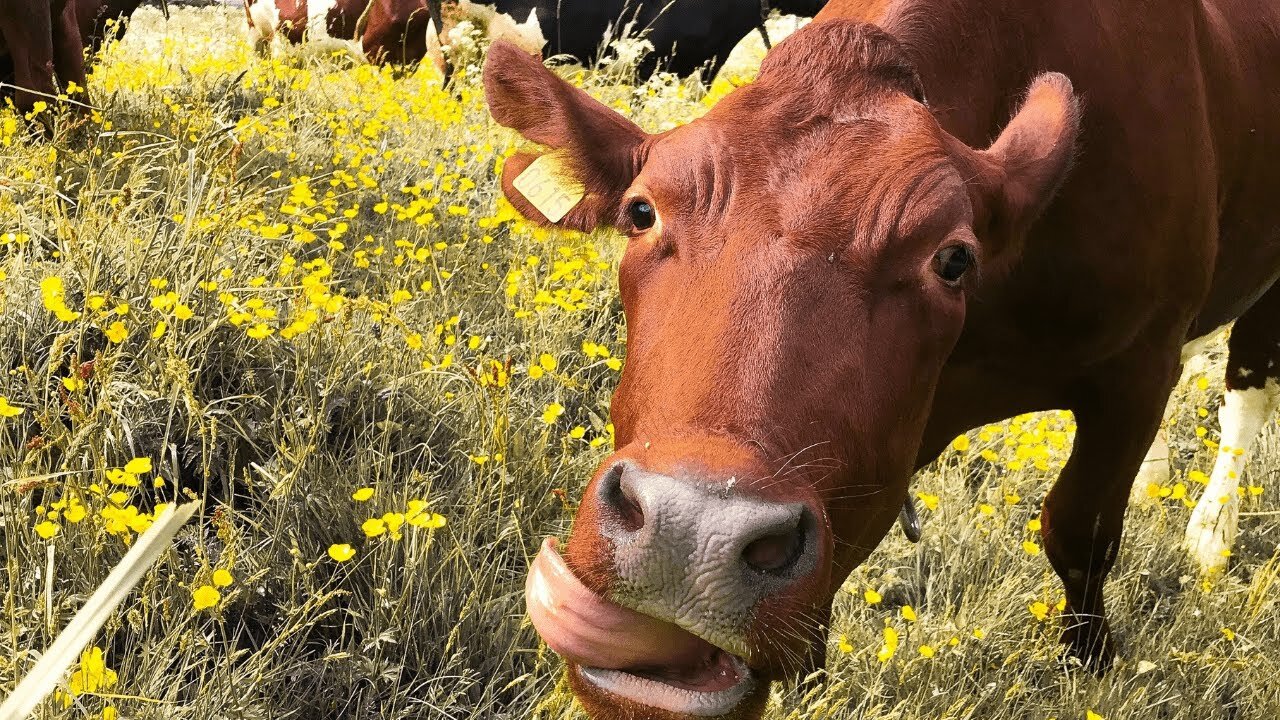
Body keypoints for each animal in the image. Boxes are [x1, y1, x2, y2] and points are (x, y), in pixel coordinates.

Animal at [486, 1, 1280, 717]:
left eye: (953, 259)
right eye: (641, 212)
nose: (691, 532)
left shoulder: (1136, 369)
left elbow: (1080, 528)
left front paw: (1089, 661)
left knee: (1247, 387)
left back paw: (1211, 534)